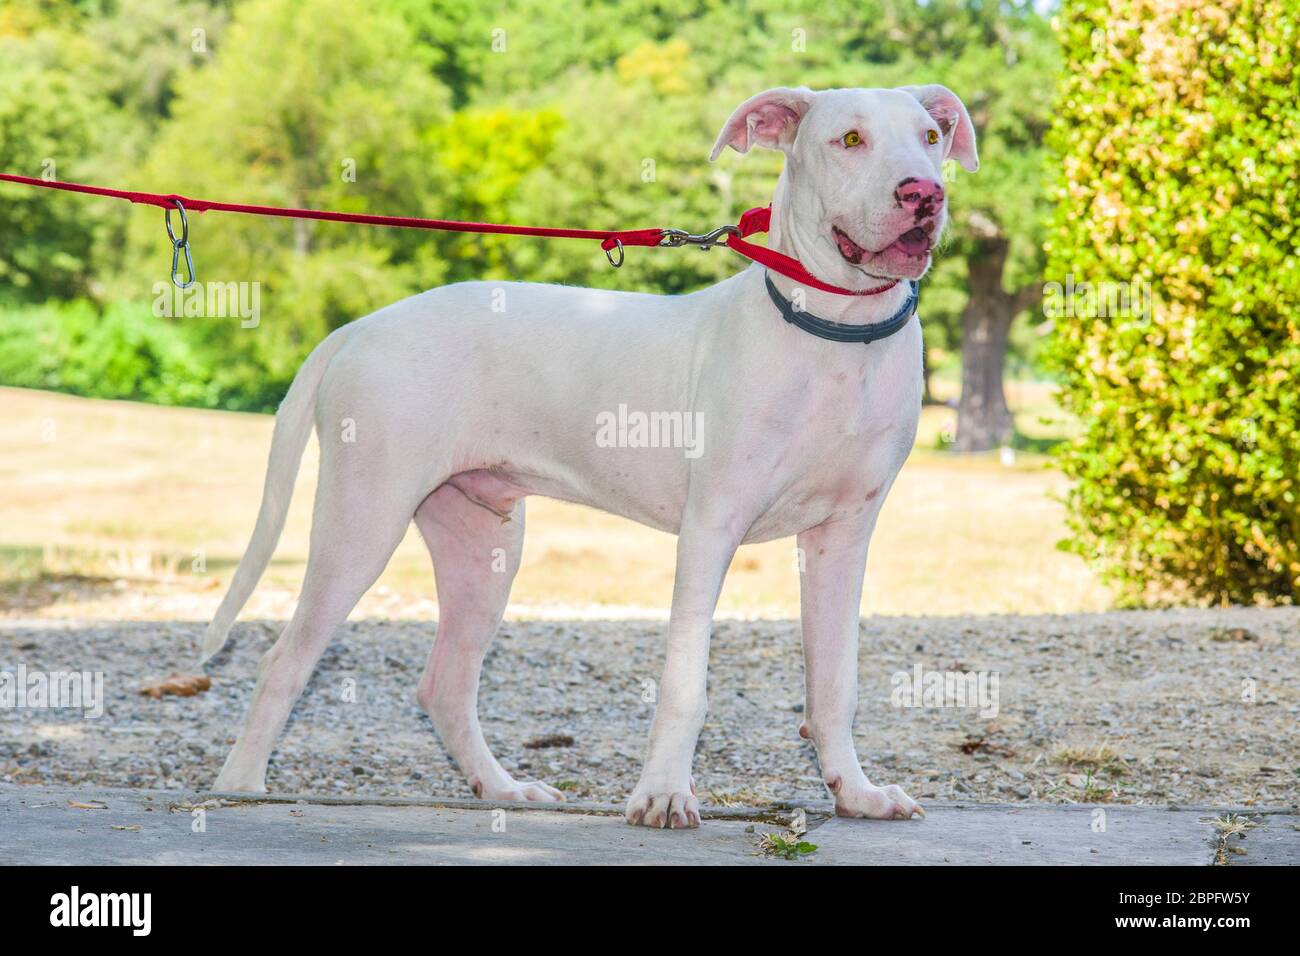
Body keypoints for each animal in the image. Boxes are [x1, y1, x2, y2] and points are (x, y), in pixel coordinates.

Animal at [200, 83, 977, 832]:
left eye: (931, 137)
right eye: (849, 139)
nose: (923, 193)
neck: (834, 336)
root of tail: (358, 328)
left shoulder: (842, 538)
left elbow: (835, 682)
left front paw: (858, 793)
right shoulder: (711, 529)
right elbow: (685, 683)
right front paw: (662, 796)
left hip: (481, 541)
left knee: (444, 683)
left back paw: (503, 790)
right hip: (363, 520)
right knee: (285, 659)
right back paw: (242, 789)